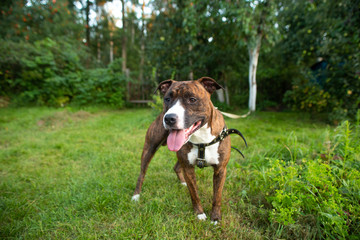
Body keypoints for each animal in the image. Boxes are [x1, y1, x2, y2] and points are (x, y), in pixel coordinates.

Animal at [131, 76, 246, 223]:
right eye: (167, 99)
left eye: (192, 99)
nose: (169, 118)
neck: (202, 138)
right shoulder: (188, 167)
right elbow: (194, 193)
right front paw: (200, 214)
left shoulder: (220, 170)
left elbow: (217, 196)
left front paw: (215, 217)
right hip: (149, 148)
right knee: (142, 173)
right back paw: (136, 195)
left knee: (176, 167)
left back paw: (182, 182)